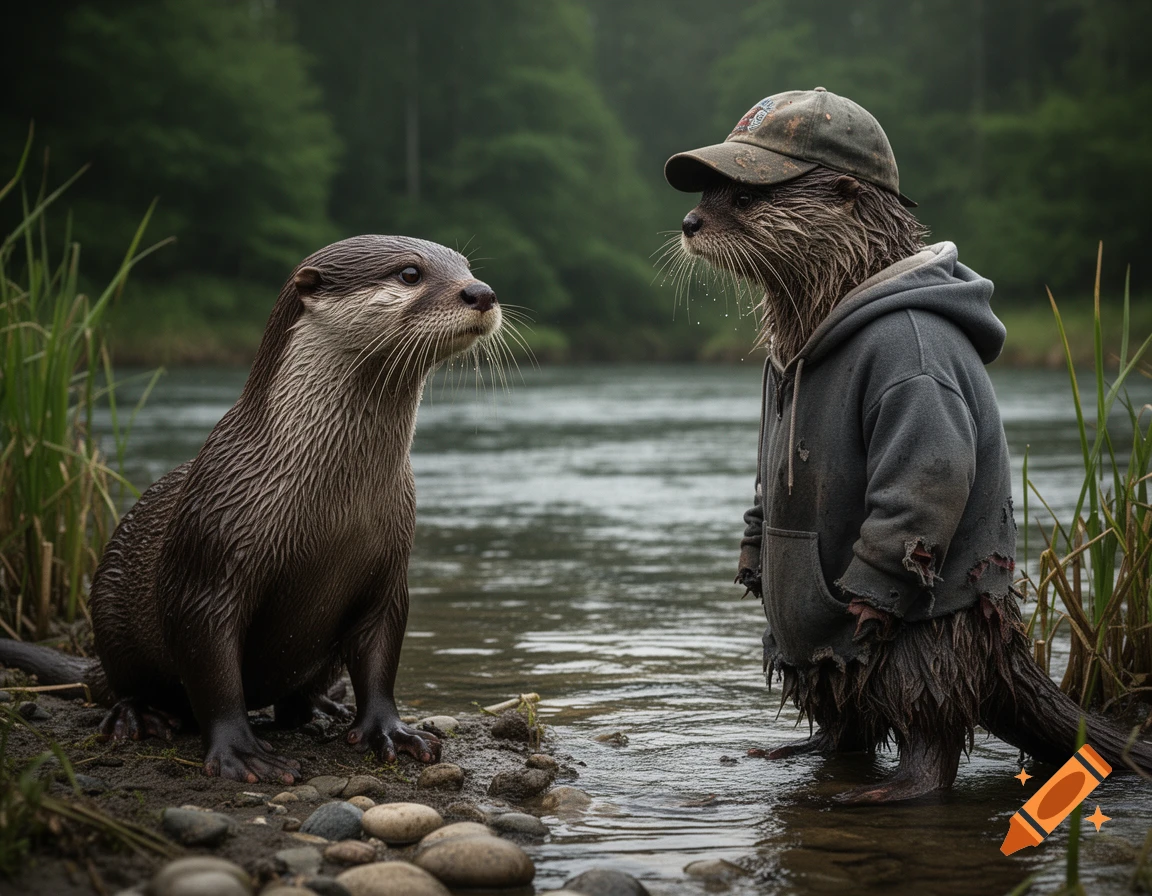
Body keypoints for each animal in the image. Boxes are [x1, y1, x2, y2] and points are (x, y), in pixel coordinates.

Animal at [0, 235, 504, 783]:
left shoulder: (388, 569)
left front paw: (390, 731)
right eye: (410, 273)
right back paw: (138, 716)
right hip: (110, 613)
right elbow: (213, 672)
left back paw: (323, 707)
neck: (334, 513)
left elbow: (380, 659)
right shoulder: (209, 565)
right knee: (121, 683)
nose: (482, 292)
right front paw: (241, 753)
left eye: (467, 266)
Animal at [665, 88, 1152, 802]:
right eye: (707, 190)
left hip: (926, 646)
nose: (690, 221)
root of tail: (1003, 644)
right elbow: (762, 495)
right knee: (844, 717)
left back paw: (889, 791)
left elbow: (922, 477)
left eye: (744, 198)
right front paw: (752, 560)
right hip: (819, 661)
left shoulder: (917, 370)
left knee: (929, 726)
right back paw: (791, 750)